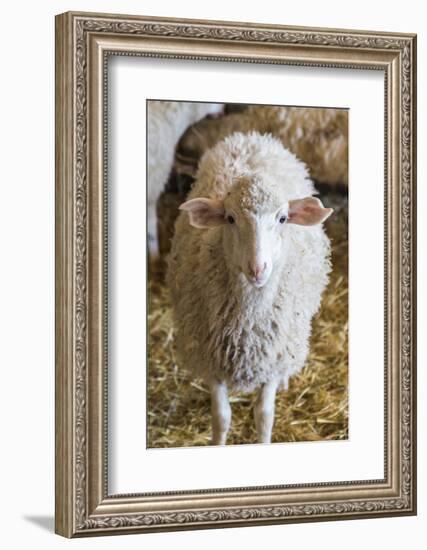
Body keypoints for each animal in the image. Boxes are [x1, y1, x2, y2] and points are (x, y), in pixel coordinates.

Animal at [167, 132, 334, 446]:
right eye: (230, 218)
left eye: (282, 218)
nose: (258, 269)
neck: (248, 325)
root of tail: (252, 137)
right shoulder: (212, 361)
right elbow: (221, 418)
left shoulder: (272, 360)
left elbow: (264, 415)